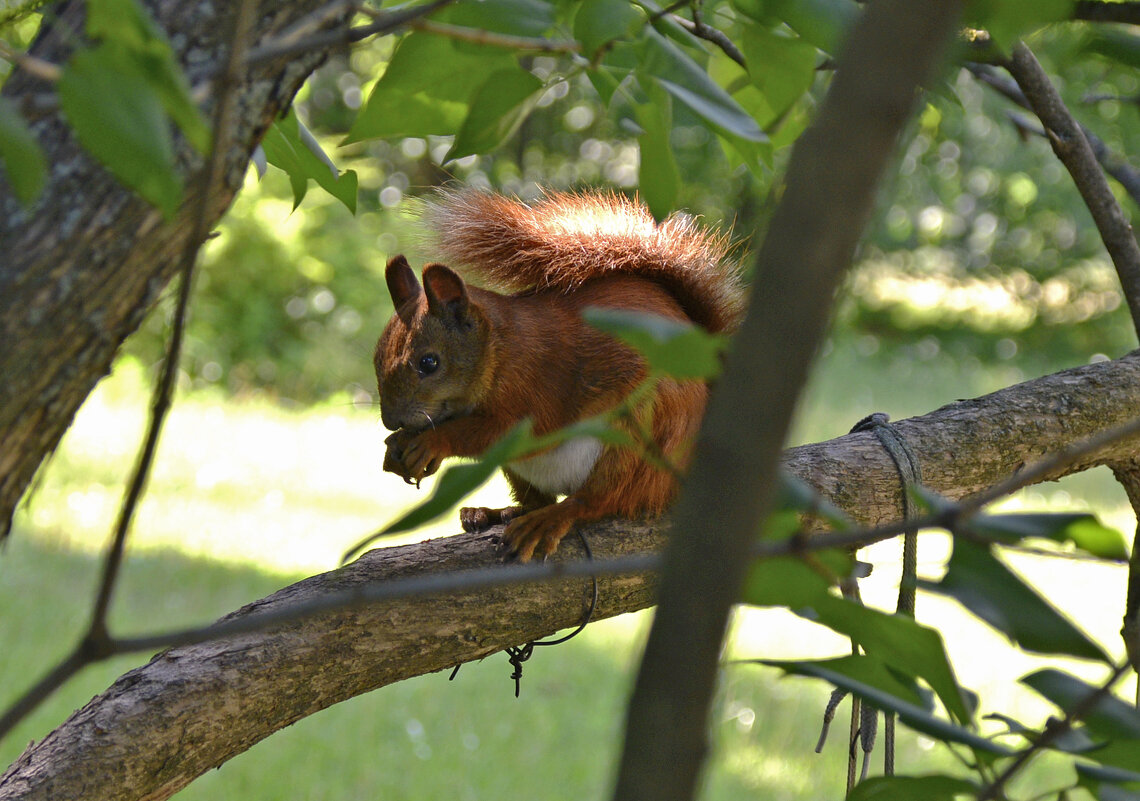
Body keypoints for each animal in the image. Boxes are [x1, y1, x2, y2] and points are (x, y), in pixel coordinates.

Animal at [373, 190, 743, 560]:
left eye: (429, 363)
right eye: (377, 357)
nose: (391, 421)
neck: (500, 349)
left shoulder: (539, 382)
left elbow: (505, 431)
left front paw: (432, 441)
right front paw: (397, 446)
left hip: (644, 432)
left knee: (602, 498)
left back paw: (551, 518)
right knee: (538, 499)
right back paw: (493, 513)